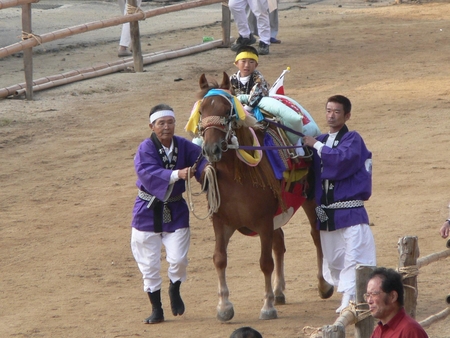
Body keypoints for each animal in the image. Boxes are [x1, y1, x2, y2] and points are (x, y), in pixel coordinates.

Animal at [192, 72, 332, 320]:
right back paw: (279, 291)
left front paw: (267, 306)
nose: (211, 149)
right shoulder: (221, 221)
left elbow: (265, 263)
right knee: (280, 243)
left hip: (309, 199)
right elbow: (219, 259)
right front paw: (224, 306)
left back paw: (322, 285)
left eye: (227, 111)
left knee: (316, 236)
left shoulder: (263, 221)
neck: (237, 176)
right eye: (202, 111)